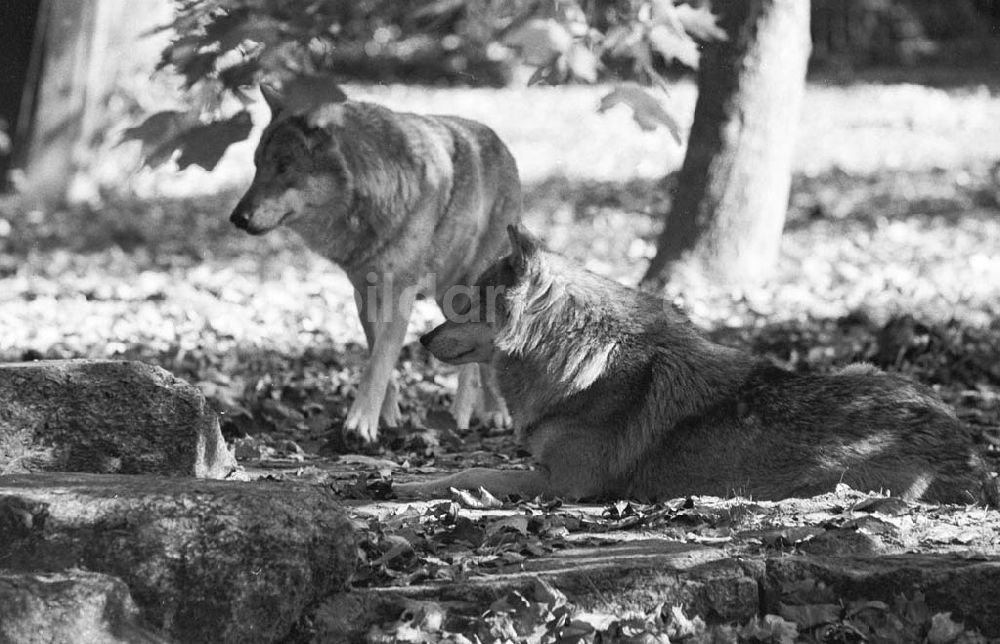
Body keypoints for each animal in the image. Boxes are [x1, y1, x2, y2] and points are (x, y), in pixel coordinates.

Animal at [230, 85, 520, 442]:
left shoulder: (401, 293)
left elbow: (380, 361)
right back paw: (463, 415)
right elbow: (376, 354)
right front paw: (387, 416)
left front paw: (359, 424)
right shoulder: (364, 293)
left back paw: (488, 413)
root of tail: (499, 141)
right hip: (450, 297)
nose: (237, 218)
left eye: (284, 166)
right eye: (257, 165)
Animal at [402, 224, 996, 506]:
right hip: (860, 367)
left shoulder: (566, 483)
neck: (578, 359)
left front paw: (416, 487)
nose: (423, 338)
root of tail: (973, 460)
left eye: (465, 302)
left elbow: (472, 471)